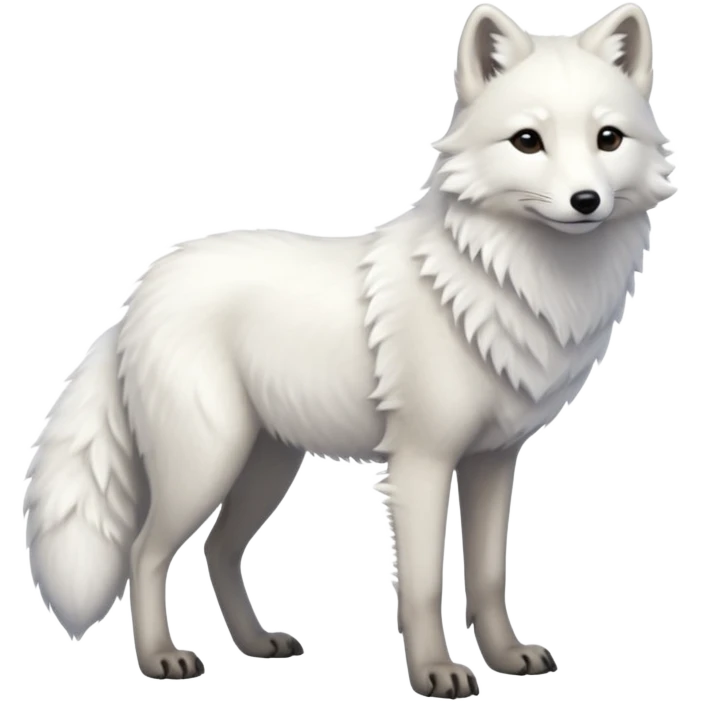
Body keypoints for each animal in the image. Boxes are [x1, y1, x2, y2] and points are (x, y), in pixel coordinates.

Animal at [23, 3, 675, 697]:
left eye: (608, 139)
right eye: (528, 141)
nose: (586, 201)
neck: (507, 282)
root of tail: (138, 296)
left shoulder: (493, 461)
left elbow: (488, 576)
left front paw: (506, 657)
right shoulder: (420, 464)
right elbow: (422, 585)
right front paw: (435, 672)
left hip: (266, 465)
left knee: (217, 549)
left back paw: (257, 645)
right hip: (206, 462)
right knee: (144, 552)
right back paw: (160, 659)